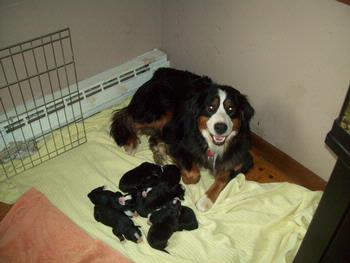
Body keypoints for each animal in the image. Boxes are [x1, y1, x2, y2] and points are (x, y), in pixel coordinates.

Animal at [111, 67, 254, 212]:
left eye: (231, 109)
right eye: (211, 108)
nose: (220, 127)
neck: (211, 143)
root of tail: (159, 72)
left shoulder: (242, 159)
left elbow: (224, 175)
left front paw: (206, 200)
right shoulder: (179, 146)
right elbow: (193, 174)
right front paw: (183, 175)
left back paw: (159, 151)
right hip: (159, 113)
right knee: (125, 117)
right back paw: (130, 142)